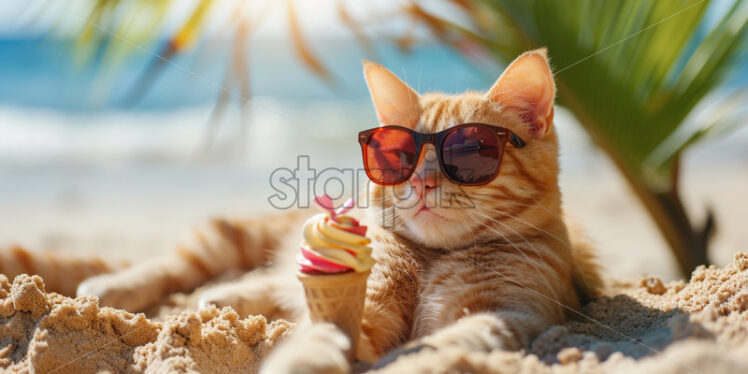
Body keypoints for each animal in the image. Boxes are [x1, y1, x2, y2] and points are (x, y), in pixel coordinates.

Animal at [0, 49, 600, 372]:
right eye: (399, 156)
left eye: (470, 152)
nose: (423, 180)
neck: (433, 259)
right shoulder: (362, 301)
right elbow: (321, 335)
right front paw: (305, 357)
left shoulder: (508, 317)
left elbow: (447, 345)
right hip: (231, 237)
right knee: (174, 265)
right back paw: (111, 287)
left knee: (260, 285)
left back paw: (226, 299)